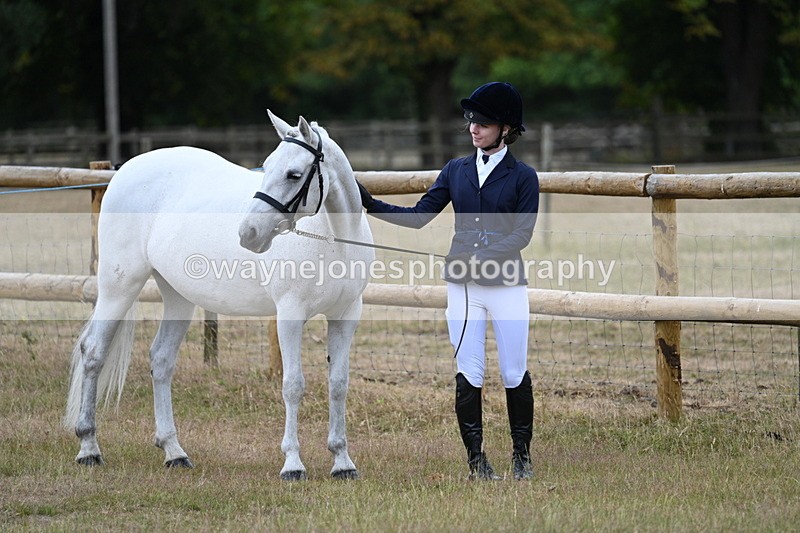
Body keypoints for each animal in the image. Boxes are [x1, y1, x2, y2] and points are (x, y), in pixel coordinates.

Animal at [63, 111, 374, 480]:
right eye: (268, 165)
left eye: (294, 174)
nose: (248, 233)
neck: (333, 239)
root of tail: (126, 170)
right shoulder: (289, 315)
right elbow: (293, 385)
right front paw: (293, 464)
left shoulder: (346, 315)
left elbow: (338, 384)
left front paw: (342, 462)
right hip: (119, 286)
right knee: (94, 351)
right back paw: (88, 448)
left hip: (178, 296)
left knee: (161, 360)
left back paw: (174, 452)